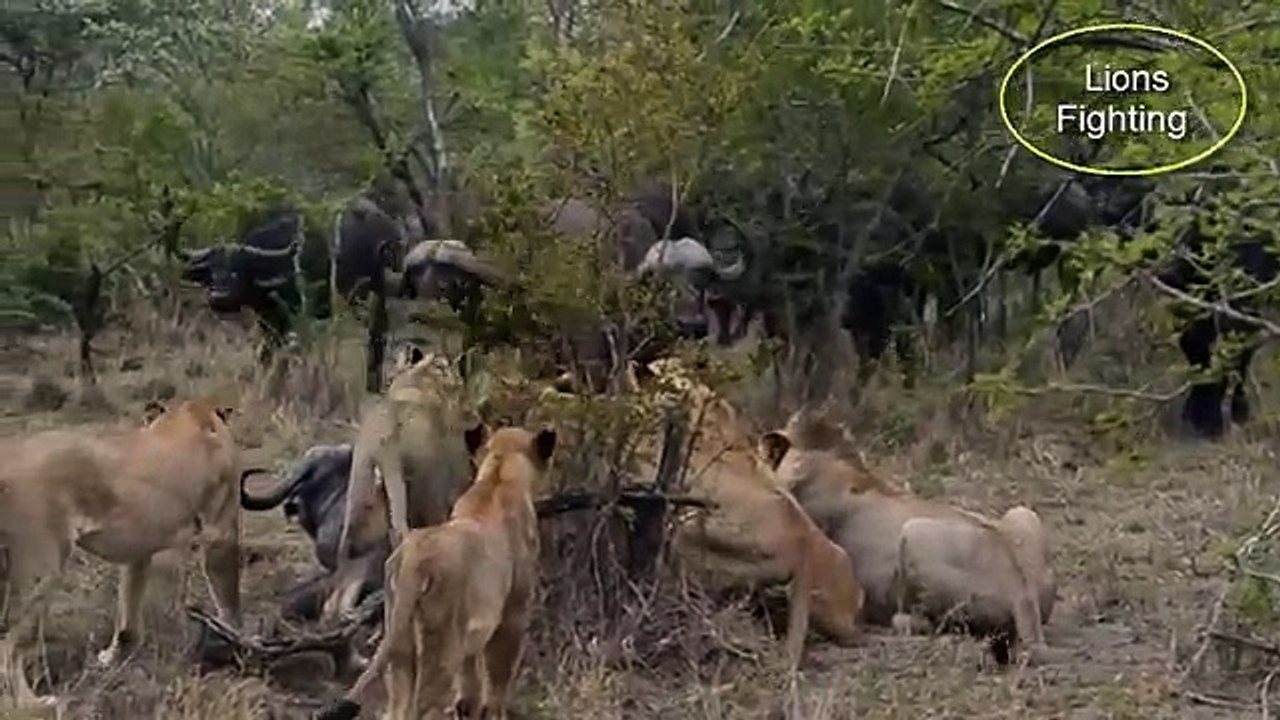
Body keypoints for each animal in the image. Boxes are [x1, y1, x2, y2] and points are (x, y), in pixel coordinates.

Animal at [0, 399, 250, 708]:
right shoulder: (220, 533)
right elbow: (230, 604)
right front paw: (238, 645)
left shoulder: (138, 547)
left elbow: (128, 611)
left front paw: (113, 657)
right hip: (42, 569)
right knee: (9, 646)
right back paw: (32, 703)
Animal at [317, 424, 554, 720]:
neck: (498, 477)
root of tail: (412, 562)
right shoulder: (513, 616)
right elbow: (498, 682)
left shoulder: (472, 641)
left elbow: (470, 685)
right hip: (440, 650)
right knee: (424, 708)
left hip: (402, 647)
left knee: (397, 709)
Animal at [323, 343, 478, 623]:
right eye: (458, 385)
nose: (475, 415)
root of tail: (380, 443)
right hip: (409, 489)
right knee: (402, 536)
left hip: (359, 505)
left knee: (346, 567)